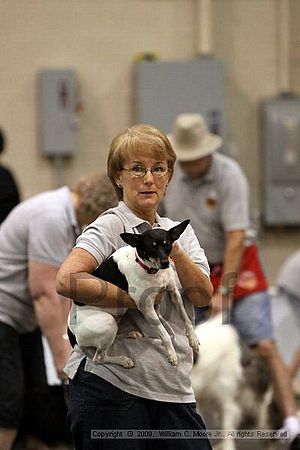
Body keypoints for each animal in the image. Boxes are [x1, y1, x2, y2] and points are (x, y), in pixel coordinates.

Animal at [68, 219, 199, 370]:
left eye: (168, 245)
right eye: (151, 247)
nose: (166, 263)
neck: (149, 269)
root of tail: (71, 332)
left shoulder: (174, 294)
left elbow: (186, 318)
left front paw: (193, 338)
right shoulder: (147, 308)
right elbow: (164, 334)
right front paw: (172, 354)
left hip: (115, 320)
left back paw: (130, 334)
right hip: (108, 322)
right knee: (98, 358)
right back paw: (123, 360)